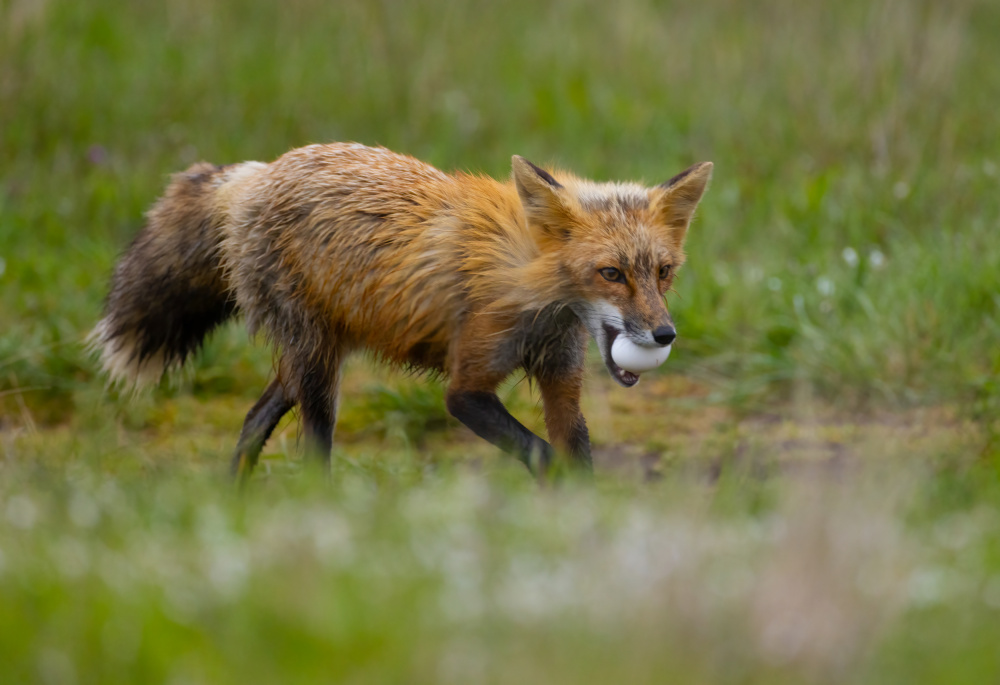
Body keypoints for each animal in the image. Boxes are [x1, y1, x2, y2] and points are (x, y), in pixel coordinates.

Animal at [91, 143, 712, 479]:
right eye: (611, 274)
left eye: (662, 272)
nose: (664, 334)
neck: (530, 288)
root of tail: (256, 172)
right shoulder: (466, 388)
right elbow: (542, 456)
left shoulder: (559, 377)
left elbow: (575, 454)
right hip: (318, 374)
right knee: (311, 452)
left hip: (308, 363)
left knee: (251, 421)